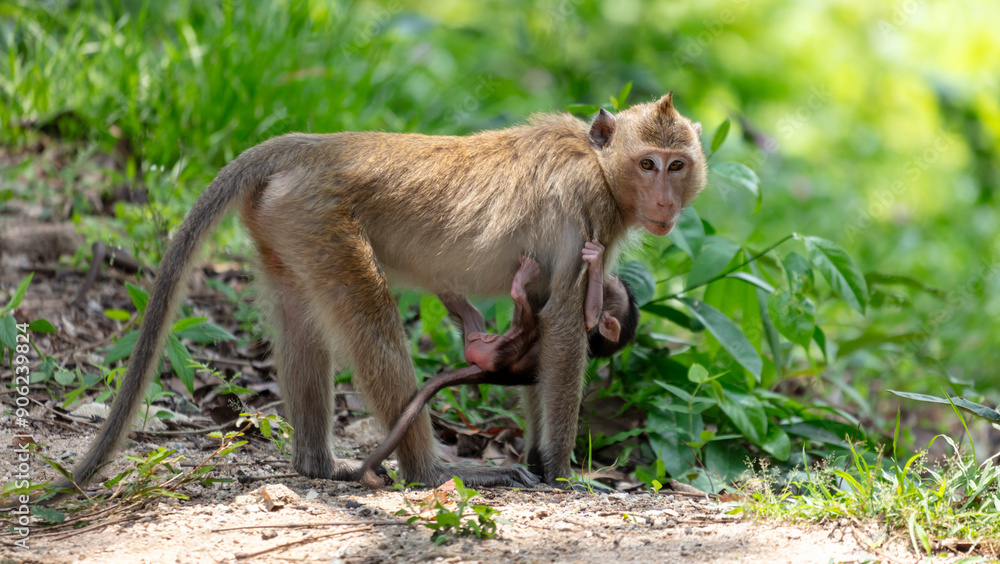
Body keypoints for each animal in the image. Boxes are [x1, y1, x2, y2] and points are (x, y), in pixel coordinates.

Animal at [359, 241, 639, 488]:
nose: (610, 274)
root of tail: (488, 371)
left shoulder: (594, 322)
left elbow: (591, 314)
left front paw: (595, 261)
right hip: (482, 340)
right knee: (475, 317)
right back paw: (447, 288)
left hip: (496, 352)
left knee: (525, 324)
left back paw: (519, 285)